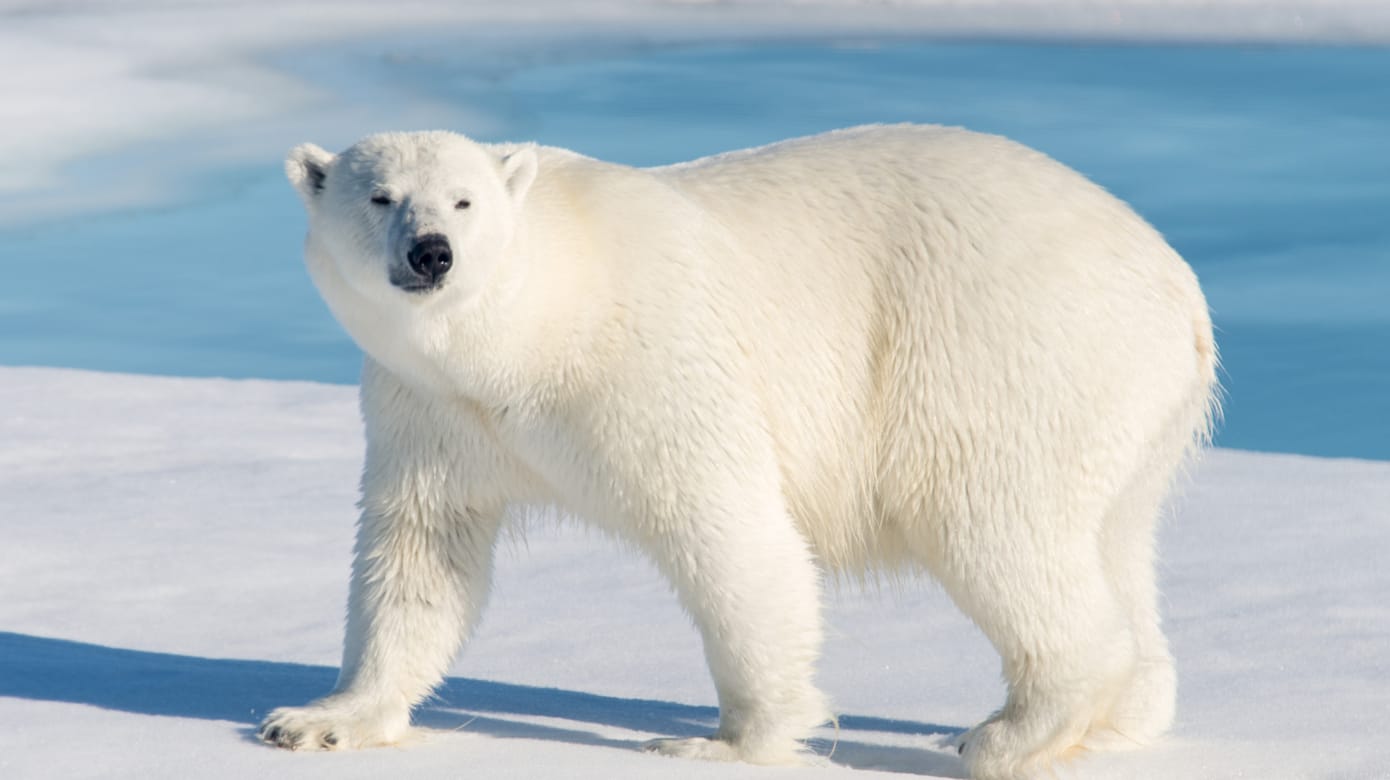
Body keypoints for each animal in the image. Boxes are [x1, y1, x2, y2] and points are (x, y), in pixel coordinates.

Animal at [259, 124, 1218, 780]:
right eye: (379, 196)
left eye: (465, 200)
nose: (433, 254)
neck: (533, 329)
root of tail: (1178, 284)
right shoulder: (432, 409)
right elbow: (421, 551)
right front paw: (318, 719)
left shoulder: (649, 362)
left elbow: (728, 530)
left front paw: (721, 741)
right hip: (1127, 408)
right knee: (1114, 539)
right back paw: (1122, 719)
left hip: (1001, 353)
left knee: (993, 525)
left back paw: (1006, 733)